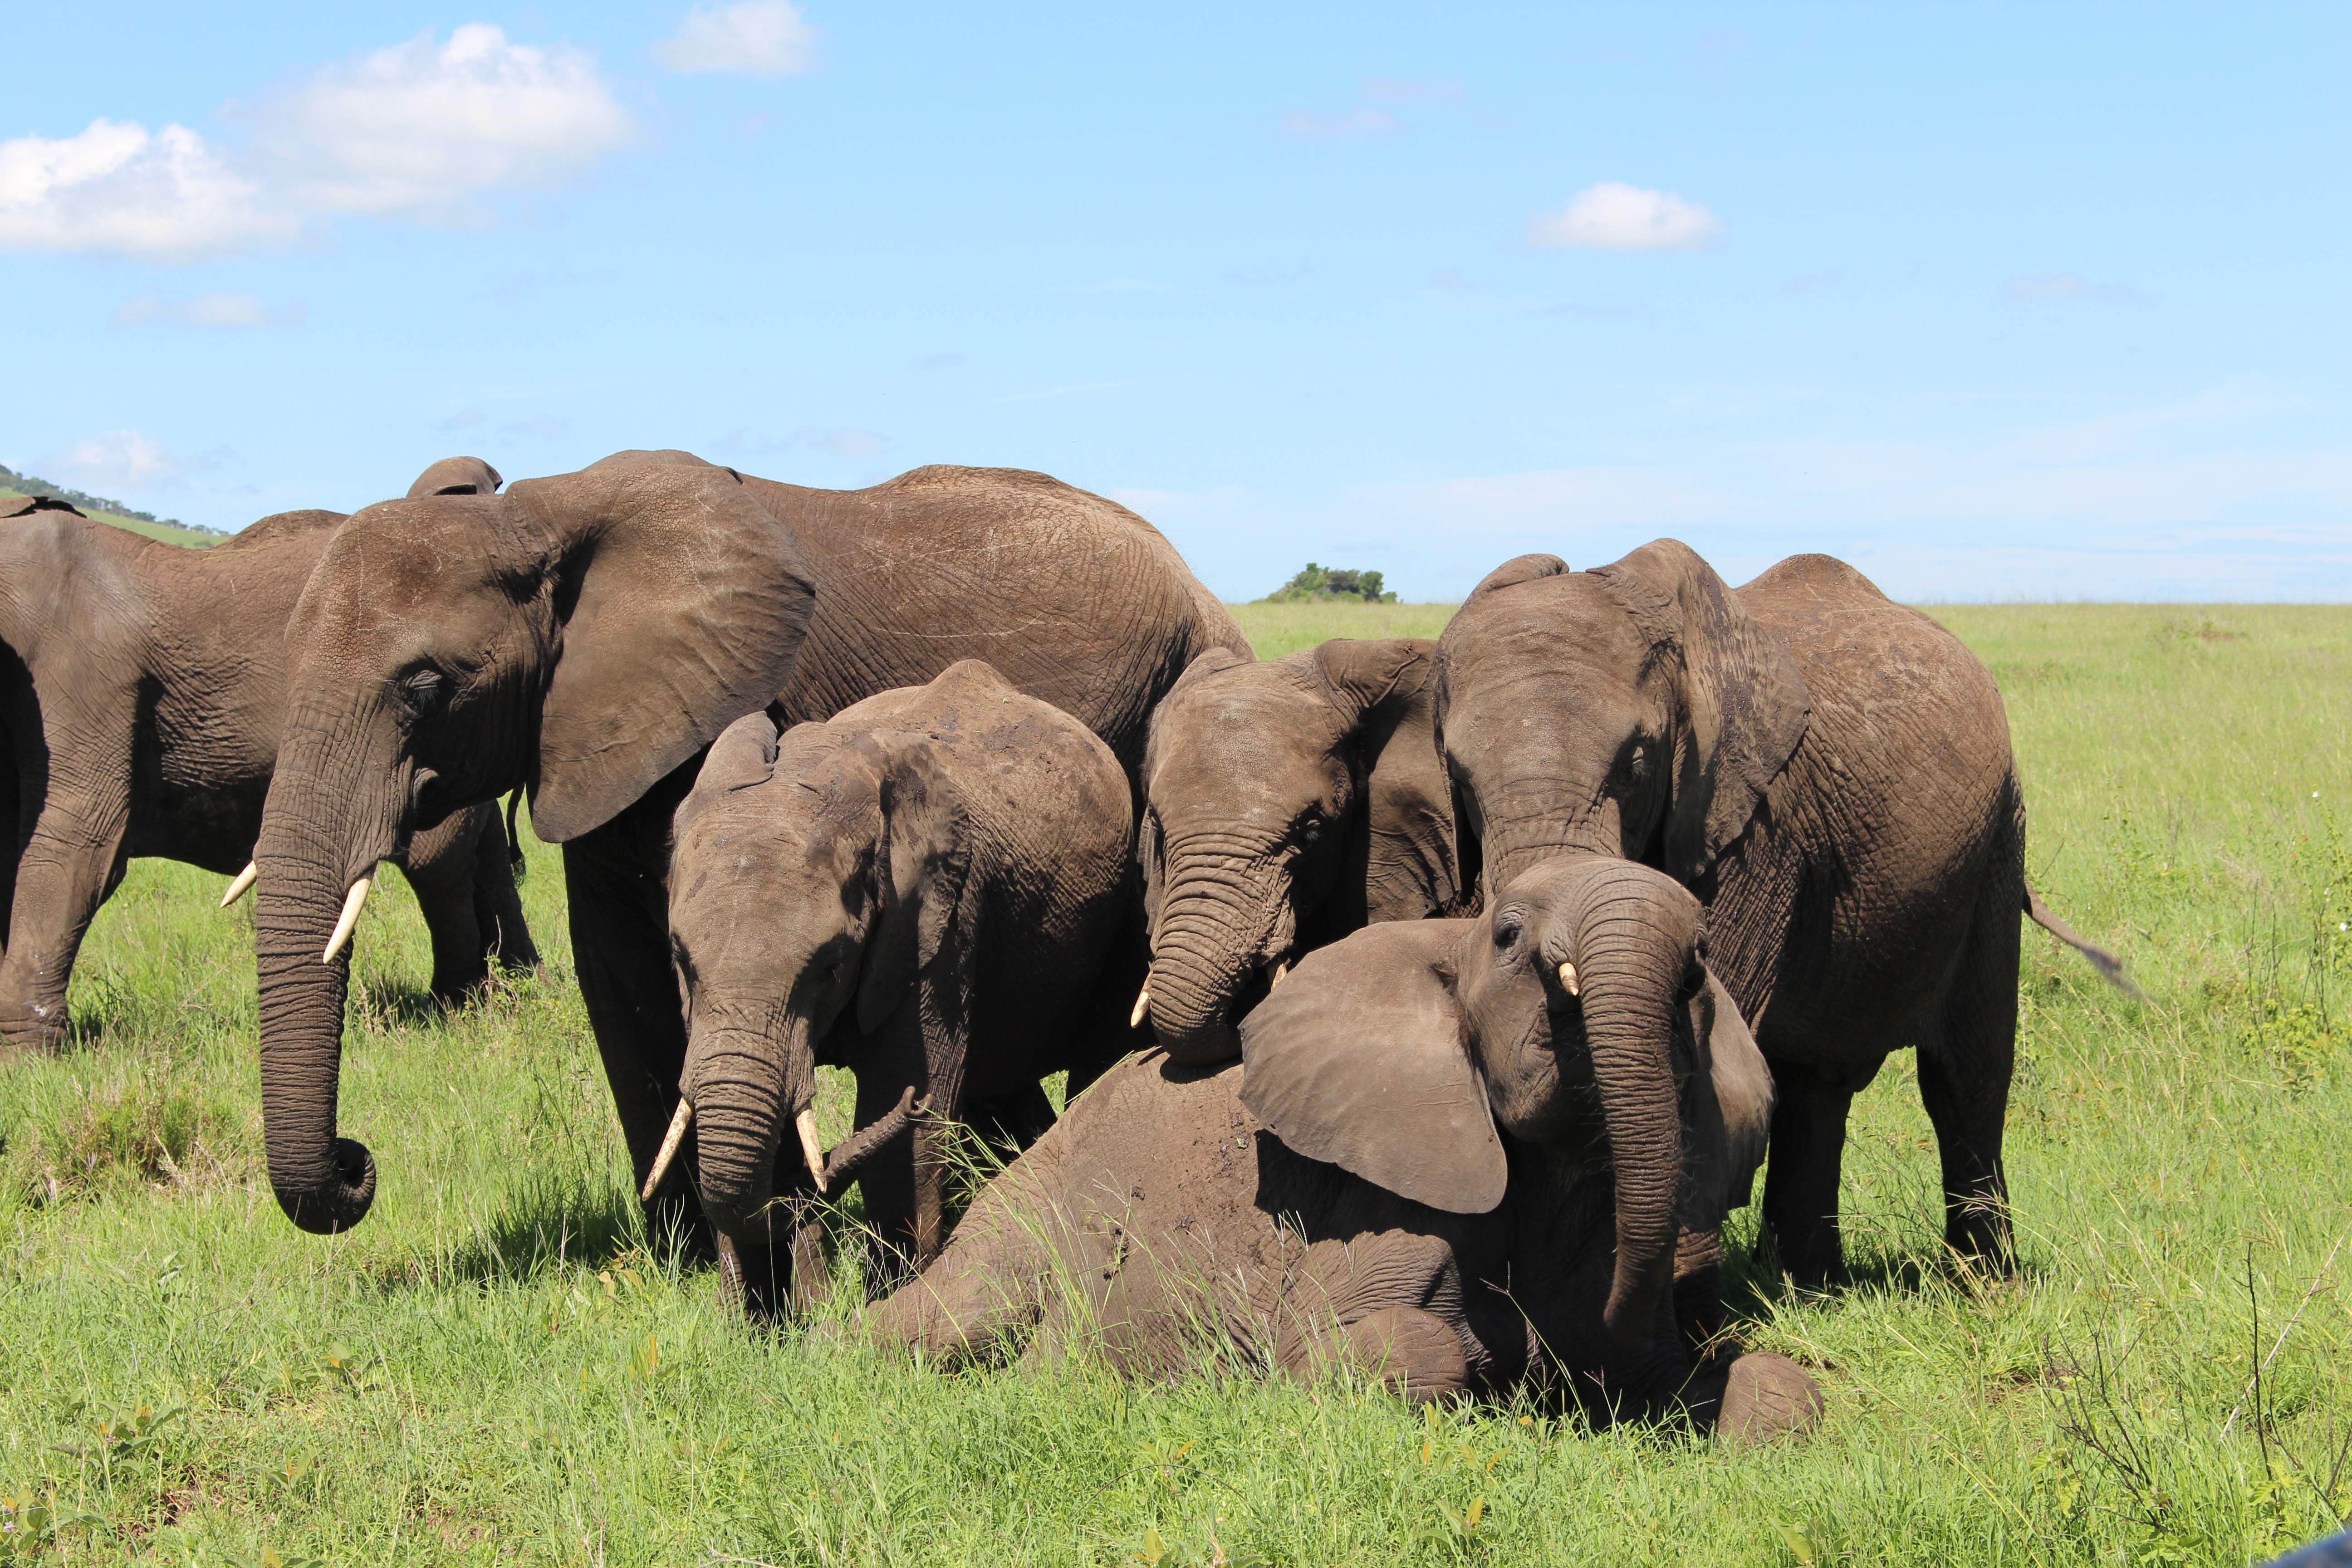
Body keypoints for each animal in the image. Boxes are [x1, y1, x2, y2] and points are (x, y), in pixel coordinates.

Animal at [0, 464, 536, 1055]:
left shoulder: (85, 673)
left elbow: (76, 840)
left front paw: (26, 1060)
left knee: (437, 863)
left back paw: (459, 1007)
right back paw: (518, 988)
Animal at [658, 659, 1137, 1297]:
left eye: (830, 967)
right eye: (681, 960)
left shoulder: (940, 921)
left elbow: (901, 1119)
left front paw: (891, 1298)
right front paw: (752, 1317)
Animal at [871, 855, 1822, 1442]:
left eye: (1697, 967)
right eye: (1508, 936)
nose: (1549, 1368)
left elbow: (1774, 1393)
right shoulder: (1376, 1206)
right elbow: (1377, 1348)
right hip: (1021, 1212)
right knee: (944, 1319)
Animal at [1434, 543, 2118, 1287]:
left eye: (1637, 764)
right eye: (1457, 777)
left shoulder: (1753, 830)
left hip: (1997, 844)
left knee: (1967, 1076)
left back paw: (1984, 1285)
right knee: (1816, 1087)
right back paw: (1811, 1288)